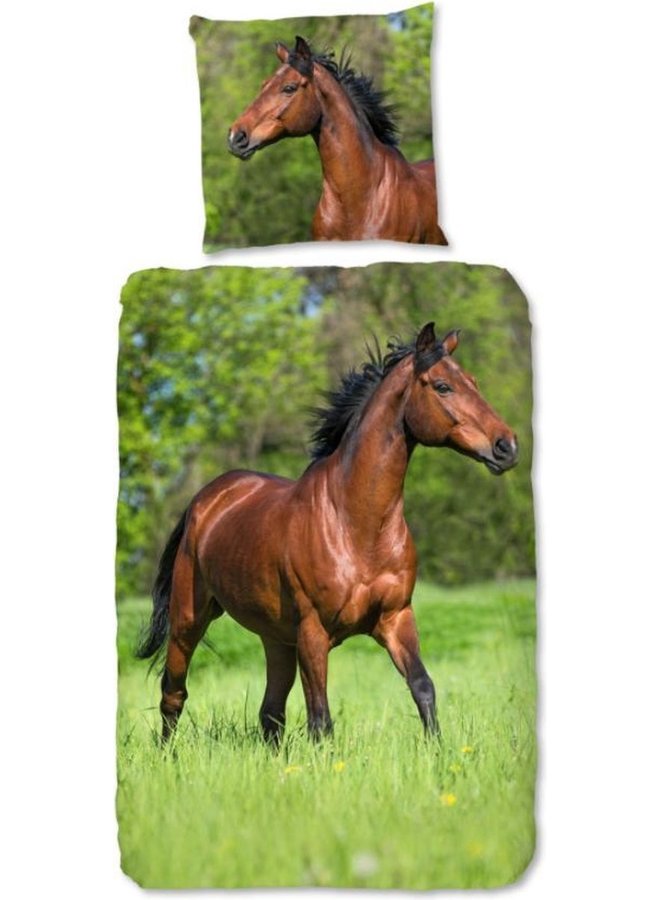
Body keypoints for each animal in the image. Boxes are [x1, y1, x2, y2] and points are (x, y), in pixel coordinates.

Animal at [137, 323, 517, 745]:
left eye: (473, 382)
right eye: (442, 386)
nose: (506, 446)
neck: (356, 526)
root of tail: (206, 499)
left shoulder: (396, 618)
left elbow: (422, 687)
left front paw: (438, 751)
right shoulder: (313, 632)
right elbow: (321, 719)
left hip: (276, 638)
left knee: (270, 713)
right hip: (189, 620)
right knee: (174, 695)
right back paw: (167, 754)